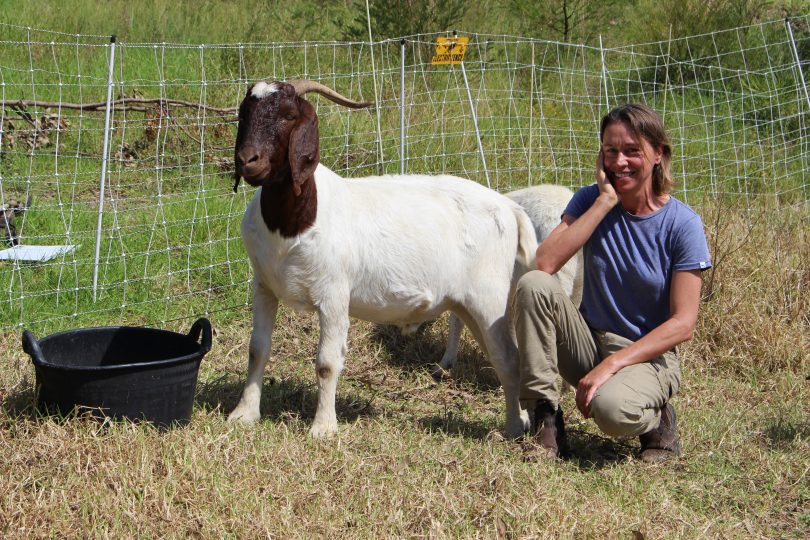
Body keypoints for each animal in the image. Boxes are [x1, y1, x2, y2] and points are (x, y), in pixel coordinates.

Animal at [226, 78, 536, 436]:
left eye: (289, 116)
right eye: (244, 112)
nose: (248, 160)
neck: (292, 225)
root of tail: (510, 208)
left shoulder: (334, 295)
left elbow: (327, 363)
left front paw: (323, 428)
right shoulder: (264, 286)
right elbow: (257, 350)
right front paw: (244, 414)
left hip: (489, 298)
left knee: (509, 360)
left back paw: (512, 428)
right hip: (471, 306)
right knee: (502, 355)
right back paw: (522, 419)